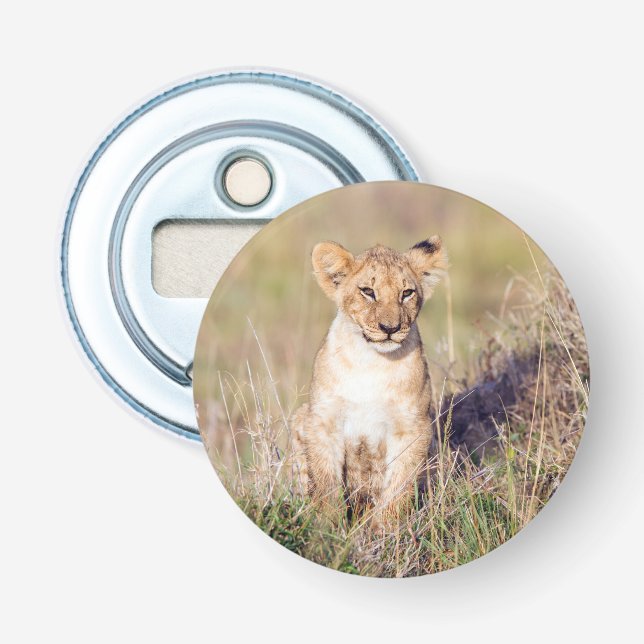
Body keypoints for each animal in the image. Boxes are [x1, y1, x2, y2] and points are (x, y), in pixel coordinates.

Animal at [290, 236, 448, 525]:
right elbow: (326, 483)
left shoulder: (412, 427)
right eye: (368, 291)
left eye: (406, 293)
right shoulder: (323, 421)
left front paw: (385, 531)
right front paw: (328, 528)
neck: (372, 362)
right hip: (299, 417)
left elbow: (398, 487)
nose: (390, 328)